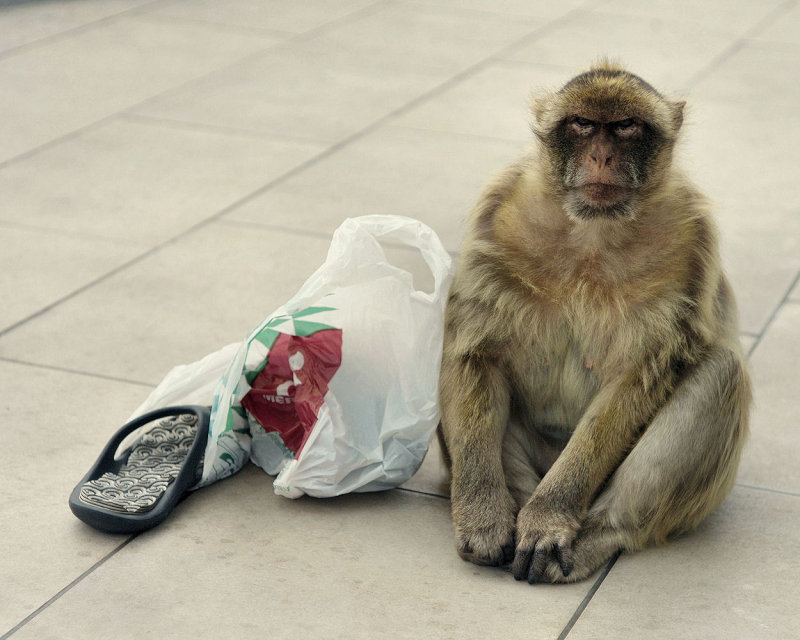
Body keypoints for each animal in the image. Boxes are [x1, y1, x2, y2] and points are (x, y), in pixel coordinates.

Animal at [438, 61, 752, 584]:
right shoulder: (498, 214)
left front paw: (549, 519)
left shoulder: (688, 240)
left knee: (722, 372)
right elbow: (477, 352)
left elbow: (636, 378)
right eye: (583, 124)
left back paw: (594, 535)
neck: (592, 233)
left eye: (625, 127)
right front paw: (482, 516)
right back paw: (513, 508)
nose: (602, 155)